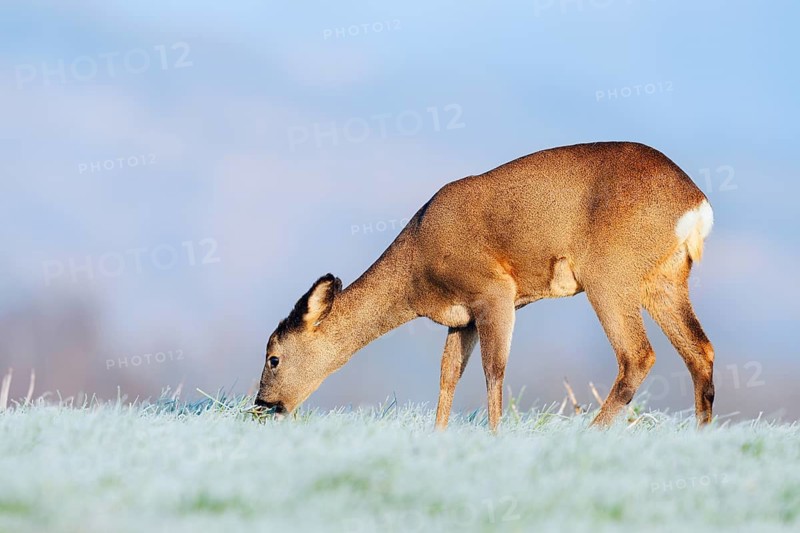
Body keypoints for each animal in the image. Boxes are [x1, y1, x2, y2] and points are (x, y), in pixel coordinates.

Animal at [255, 142, 715, 430]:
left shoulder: (495, 291)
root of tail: (696, 204)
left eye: (273, 357)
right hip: (665, 279)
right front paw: (438, 438)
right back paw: (701, 435)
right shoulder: (461, 318)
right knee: (700, 351)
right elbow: (447, 376)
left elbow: (494, 370)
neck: (417, 269)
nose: (262, 404)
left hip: (610, 274)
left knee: (638, 355)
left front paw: (496, 437)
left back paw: (587, 434)